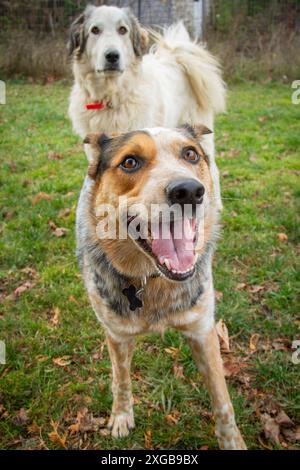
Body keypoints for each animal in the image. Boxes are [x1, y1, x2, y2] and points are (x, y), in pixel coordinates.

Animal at [69, 5, 226, 209]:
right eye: (95, 30)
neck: (111, 97)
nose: (112, 56)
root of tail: (176, 55)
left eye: (123, 30)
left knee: (212, 169)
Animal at [75, 124, 246, 448]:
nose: (189, 191)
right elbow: (121, 380)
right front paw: (121, 416)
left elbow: (223, 401)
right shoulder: (117, 335)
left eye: (190, 154)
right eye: (130, 162)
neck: (153, 281)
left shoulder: (202, 331)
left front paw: (232, 441)